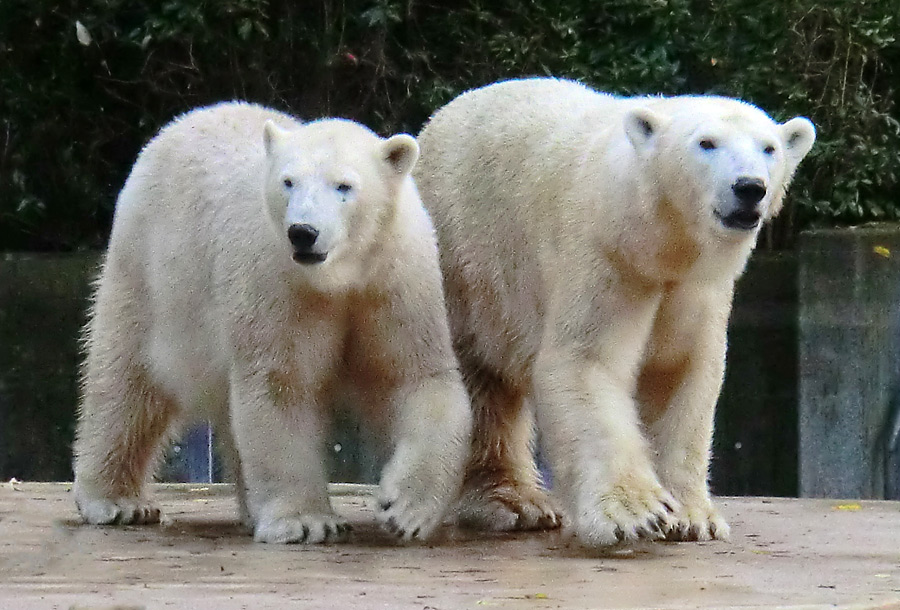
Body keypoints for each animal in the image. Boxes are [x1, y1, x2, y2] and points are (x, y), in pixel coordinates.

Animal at [74, 102, 474, 544]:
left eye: (344, 186)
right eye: (288, 181)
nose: (303, 232)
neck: (339, 276)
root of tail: (181, 123)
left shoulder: (393, 283)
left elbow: (415, 376)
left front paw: (404, 509)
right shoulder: (278, 284)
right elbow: (281, 384)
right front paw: (306, 522)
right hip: (151, 273)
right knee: (127, 380)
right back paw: (117, 501)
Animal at [414, 77, 816, 548]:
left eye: (769, 147)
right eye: (706, 143)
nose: (750, 187)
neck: (657, 242)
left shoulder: (696, 289)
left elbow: (681, 374)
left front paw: (693, 518)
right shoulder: (604, 258)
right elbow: (587, 363)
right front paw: (635, 513)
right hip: (469, 266)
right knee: (480, 380)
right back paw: (512, 503)